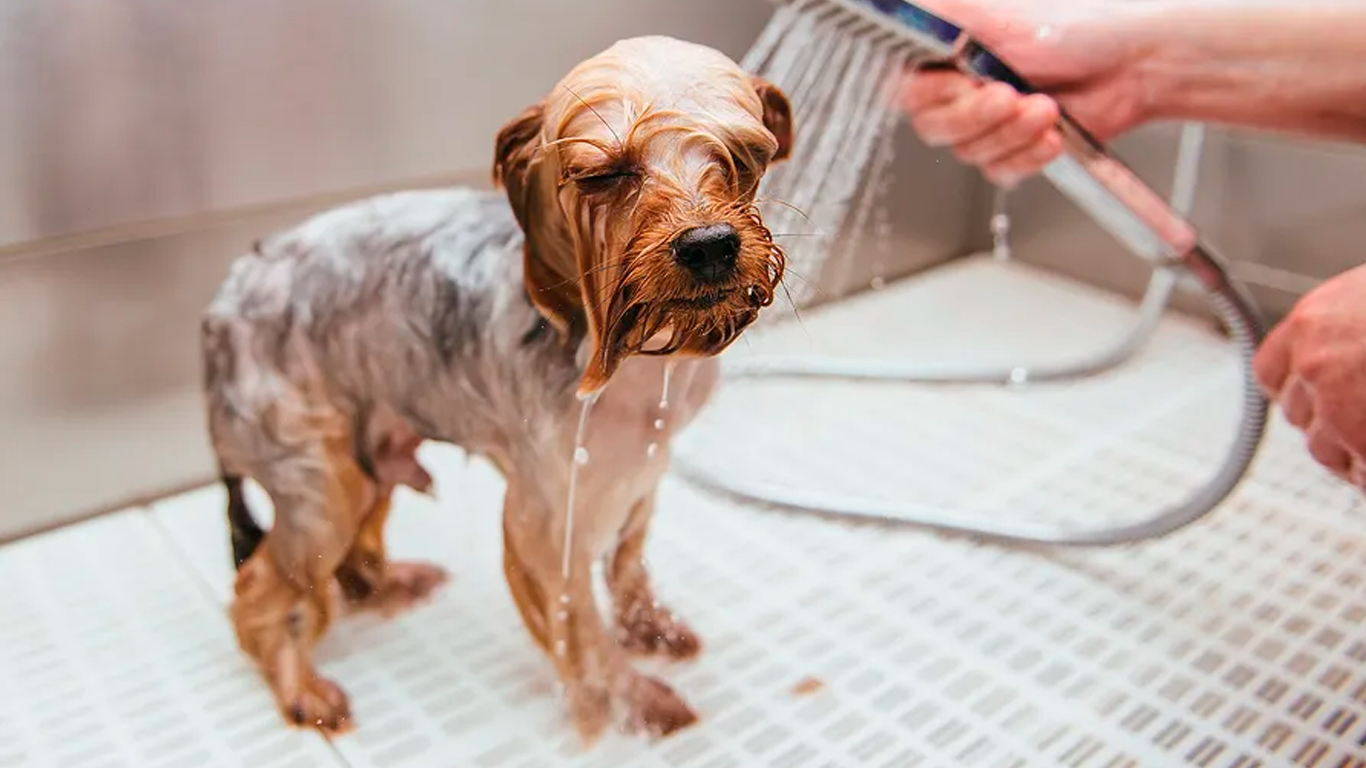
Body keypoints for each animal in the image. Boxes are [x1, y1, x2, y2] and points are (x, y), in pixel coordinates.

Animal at [202, 35, 797, 743]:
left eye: (744, 157)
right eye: (604, 175)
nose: (709, 245)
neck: (636, 355)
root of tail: (222, 306)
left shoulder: (645, 462)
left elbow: (628, 562)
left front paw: (650, 628)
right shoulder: (546, 512)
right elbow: (580, 626)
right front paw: (634, 701)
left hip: (366, 451)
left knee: (347, 559)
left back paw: (391, 585)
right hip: (320, 480)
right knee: (258, 592)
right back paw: (304, 693)